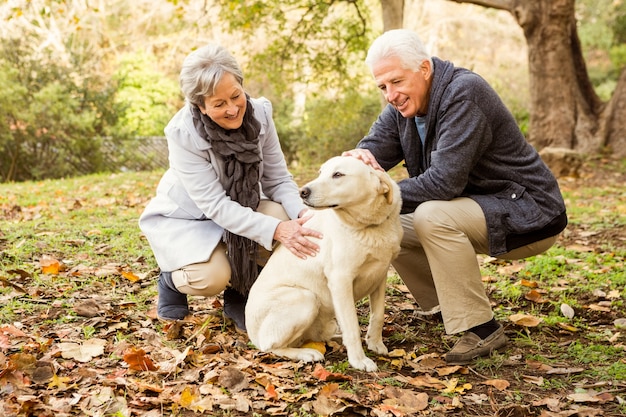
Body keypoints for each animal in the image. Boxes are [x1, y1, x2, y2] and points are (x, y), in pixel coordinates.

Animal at [244, 156, 400, 370]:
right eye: (320, 172)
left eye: (338, 174)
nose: (303, 191)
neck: (368, 226)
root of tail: (250, 332)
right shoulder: (340, 281)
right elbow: (352, 325)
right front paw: (358, 360)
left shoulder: (380, 275)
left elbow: (378, 315)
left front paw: (375, 343)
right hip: (305, 297)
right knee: (270, 346)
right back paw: (306, 353)